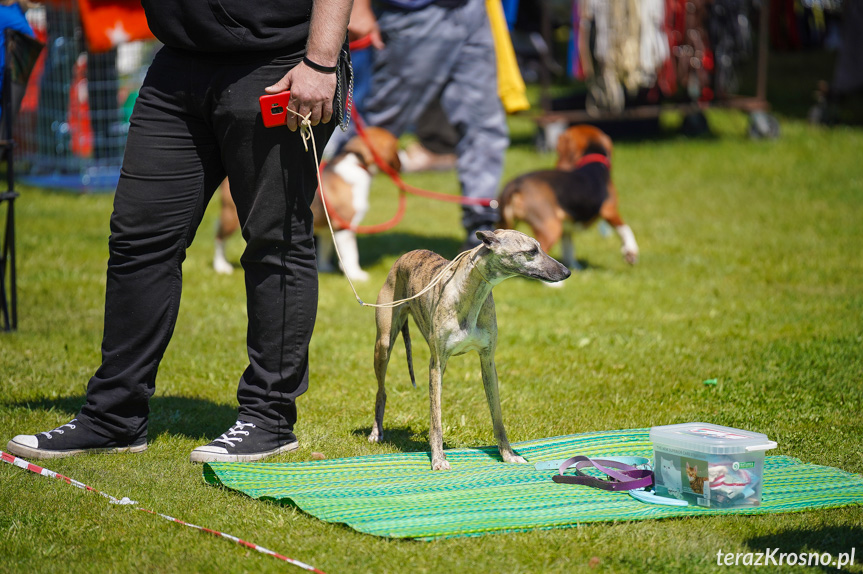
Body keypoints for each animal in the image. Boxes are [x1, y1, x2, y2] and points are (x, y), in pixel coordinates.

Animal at [216, 129, 404, 284]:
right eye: (395, 146)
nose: (403, 162)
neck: (358, 164)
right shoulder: (345, 227)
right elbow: (351, 254)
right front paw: (356, 275)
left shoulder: (330, 227)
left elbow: (326, 248)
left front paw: (325, 268)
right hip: (231, 217)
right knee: (219, 237)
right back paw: (221, 266)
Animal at [372, 227, 572, 470]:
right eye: (532, 251)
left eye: (540, 247)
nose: (567, 272)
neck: (470, 292)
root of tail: (405, 255)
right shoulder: (437, 364)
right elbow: (436, 419)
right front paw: (438, 459)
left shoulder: (488, 361)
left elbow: (497, 416)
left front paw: (508, 455)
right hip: (383, 344)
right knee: (381, 391)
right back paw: (376, 432)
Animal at [496, 126, 636, 270]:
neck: (593, 163)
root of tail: (516, 184)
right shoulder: (609, 210)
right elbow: (625, 229)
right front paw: (630, 251)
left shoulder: (567, 227)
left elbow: (568, 248)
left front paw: (575, 268)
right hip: (550, 228)